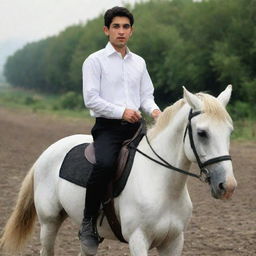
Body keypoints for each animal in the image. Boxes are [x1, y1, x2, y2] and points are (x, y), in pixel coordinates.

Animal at [0, 86, 236, 256]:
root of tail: (48, 151)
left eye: (229, 131)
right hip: (49, 222)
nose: (228, 186)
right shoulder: (138, 240)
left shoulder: (174, 242)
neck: (162, 185)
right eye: (202, 133)